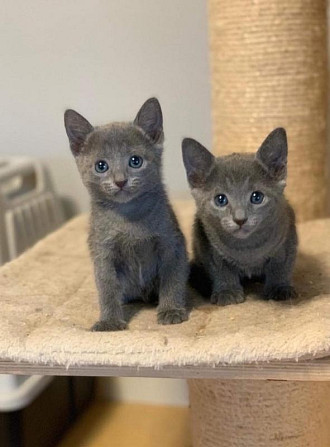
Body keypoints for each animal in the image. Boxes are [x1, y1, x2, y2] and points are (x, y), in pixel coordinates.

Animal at [63, 98, 188, 330]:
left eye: (135, 161)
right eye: (101, 166)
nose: (120, 181)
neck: (130, 216)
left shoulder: (171, 243)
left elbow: (172, 278)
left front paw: (171, 310)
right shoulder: (102, 250)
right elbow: (107, 286)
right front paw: (109, 321)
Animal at [182, 128, 298, 306]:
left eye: (257, 197)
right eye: (220, 199)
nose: (240, 219)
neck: (247, 250)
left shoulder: (287, 234)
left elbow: (280, 265)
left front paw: (279, 288)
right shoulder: (207, 242)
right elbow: (221, 269)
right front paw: (227, 291)